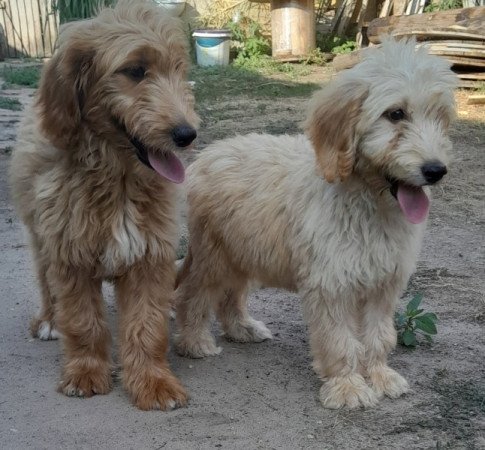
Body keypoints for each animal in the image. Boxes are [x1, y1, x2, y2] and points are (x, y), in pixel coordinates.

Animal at [9, 0, 199, 410]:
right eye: (135, 71)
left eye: (179, 70)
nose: (187, 134)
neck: (118, 178)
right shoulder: (69, 254)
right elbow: (83, 321)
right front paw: (85, 372)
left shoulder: (149, 254)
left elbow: (147, 325)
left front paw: (153, 381)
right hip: (39, 234)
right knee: (45, 280)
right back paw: (49, 321)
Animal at [175, 38, 458, 410]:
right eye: (396, 114)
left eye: (440, 116)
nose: (436, 170)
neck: (368, 204)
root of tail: (211, 152)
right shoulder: (331, 283)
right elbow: (340, 340)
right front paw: (348, 386)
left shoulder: (384, 282)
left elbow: (379, 335)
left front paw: (380, 376)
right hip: (214, 254)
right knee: (193, 294)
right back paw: (194, 341)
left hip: (243, 251)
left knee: (230, 296)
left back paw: (241, 329)